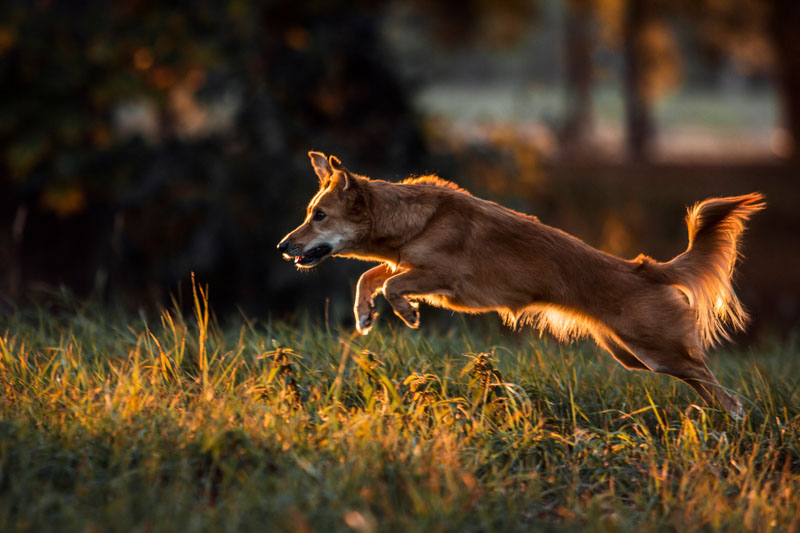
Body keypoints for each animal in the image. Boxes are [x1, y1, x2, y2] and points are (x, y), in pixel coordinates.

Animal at [278, 151, 765, 416]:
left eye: (319, 216)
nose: (283, 246)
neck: (415, 221)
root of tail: (643, 267)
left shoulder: (442, 276)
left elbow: (391, 284)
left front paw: (407, 312)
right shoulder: (407, 262)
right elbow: (371, 275)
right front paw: (364, 314)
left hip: (657, 351)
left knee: (715, 381)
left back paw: (736, 420)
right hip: (634, 357)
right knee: (702, 381)